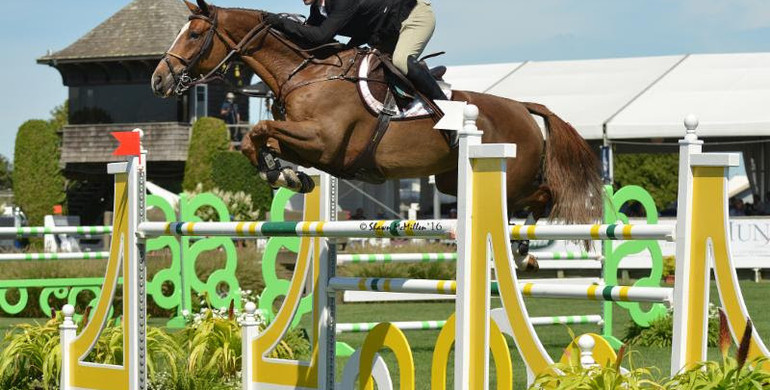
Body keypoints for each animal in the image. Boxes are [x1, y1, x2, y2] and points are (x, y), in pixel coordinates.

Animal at [152, 0, 608, 268]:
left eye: (195, 34)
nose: (159, 80)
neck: (306, 74)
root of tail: (525, 108)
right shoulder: (311, 146)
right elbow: (259, 139)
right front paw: (287, 175)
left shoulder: (324, 141)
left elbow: (261, 129)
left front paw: (283, 174)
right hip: (452, 180)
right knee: (533, 200)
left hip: (509, 173)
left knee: (545, 196)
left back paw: (524, 251)